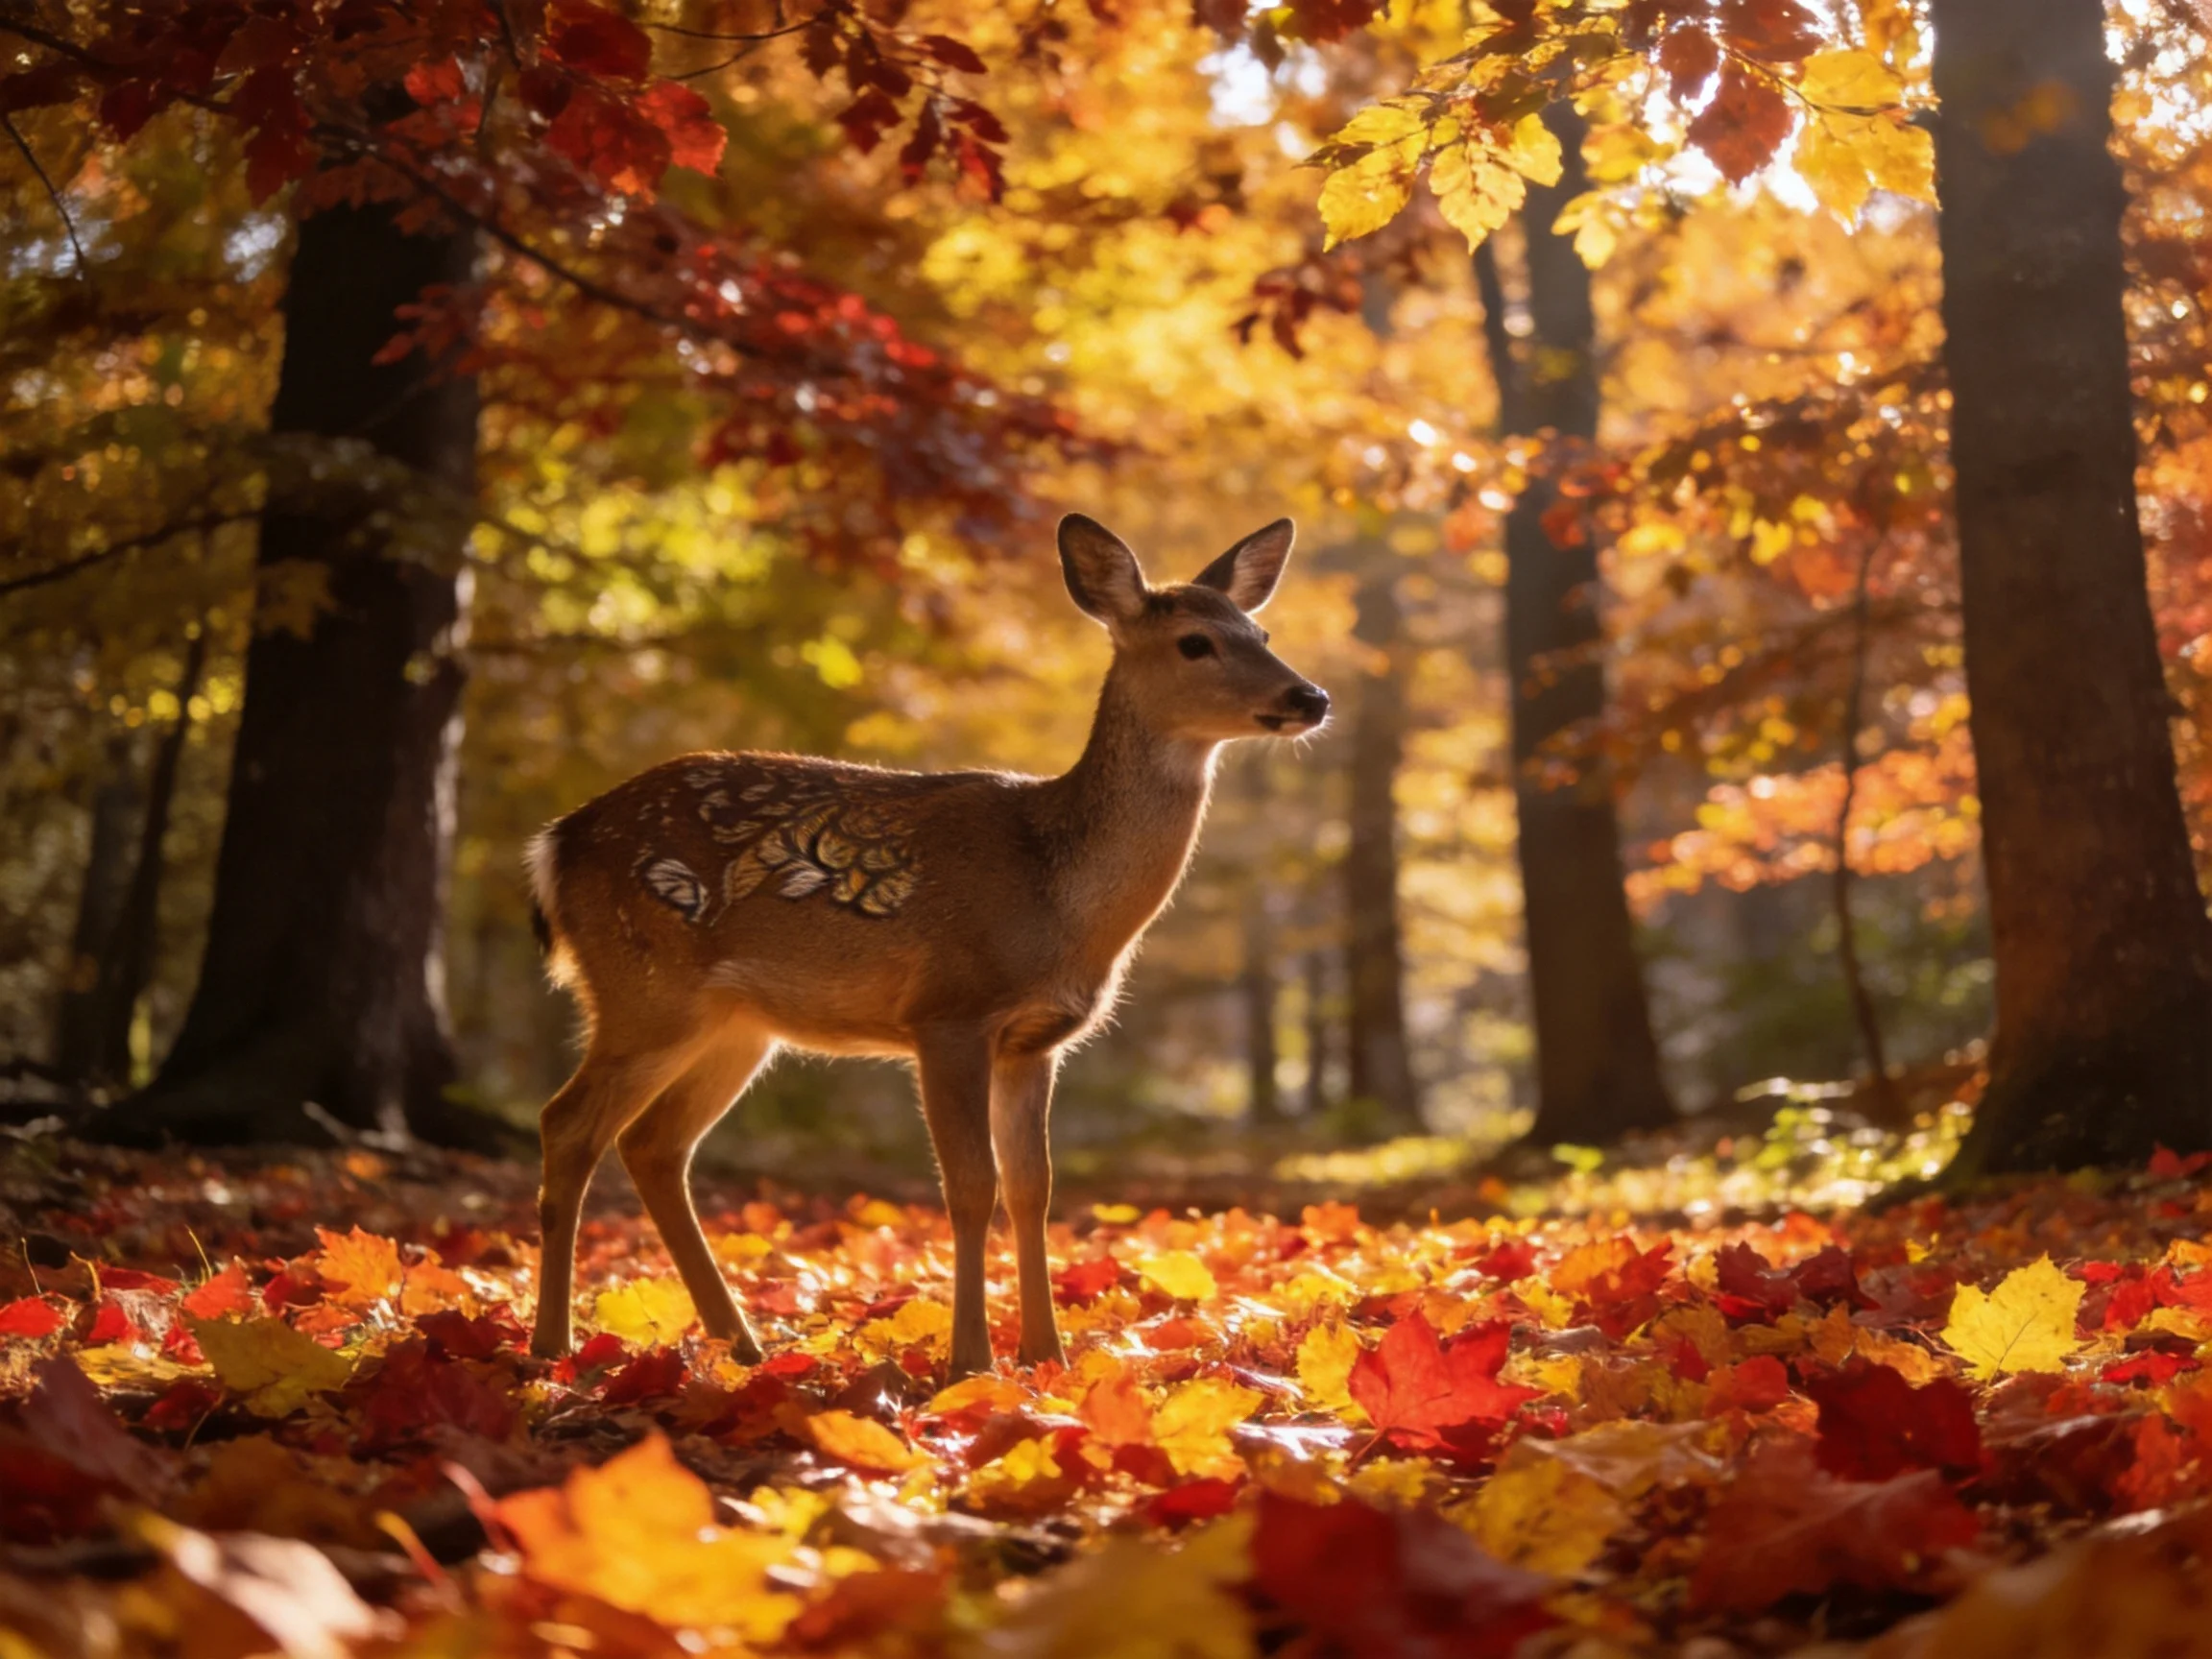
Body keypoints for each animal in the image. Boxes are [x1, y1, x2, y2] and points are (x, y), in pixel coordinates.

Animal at [524, 514, 1329, 1376]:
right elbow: (971, 1185)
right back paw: (551, 1347)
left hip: (736, 1023)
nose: (1309, 696)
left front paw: (1047, 1357)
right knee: (569, 1124)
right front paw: (971, 1360)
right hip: (644, 987)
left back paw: (739, 1344)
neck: (1057, 893)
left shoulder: (1035, 1040)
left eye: (1262, 632)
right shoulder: (948, 1011)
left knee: (653, 1144)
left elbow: (1033, 1188)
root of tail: (556, 844)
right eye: (1194, 643)